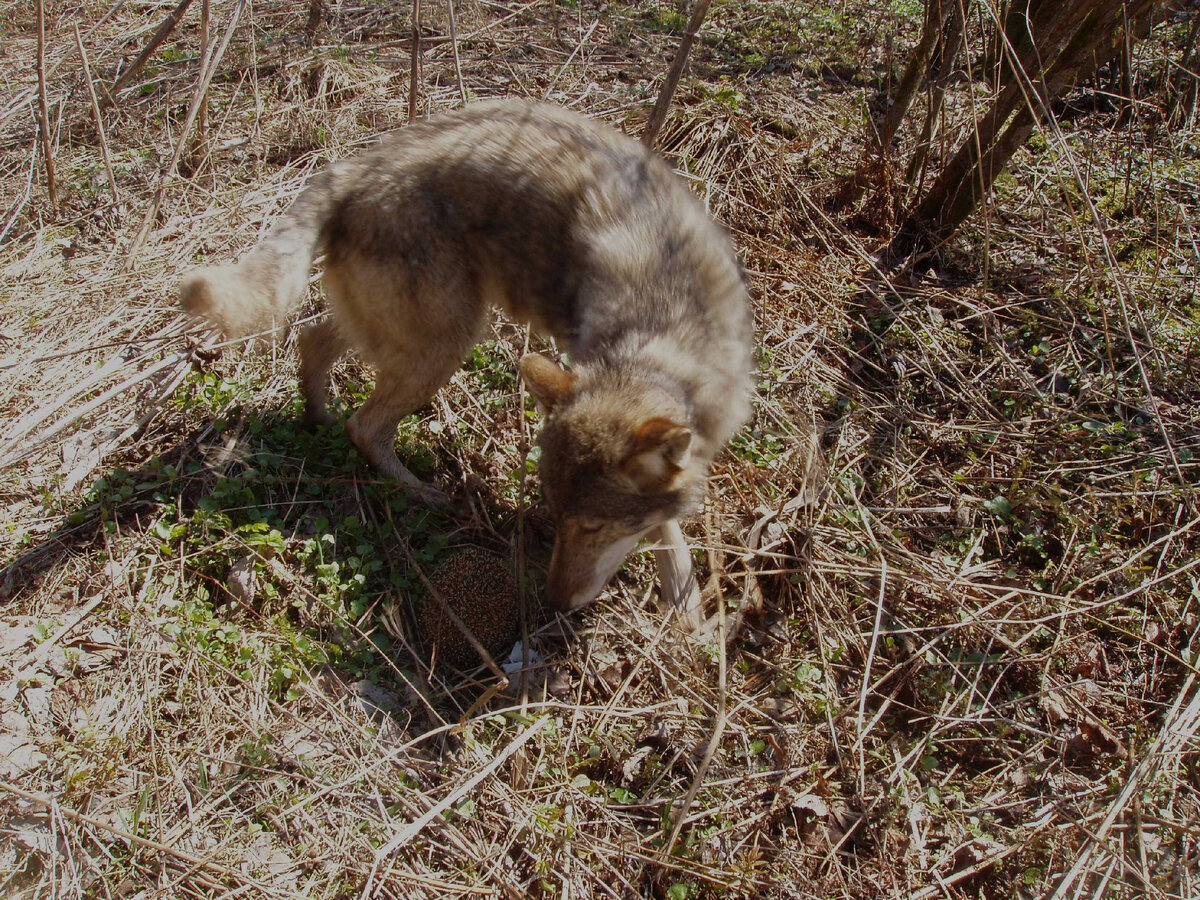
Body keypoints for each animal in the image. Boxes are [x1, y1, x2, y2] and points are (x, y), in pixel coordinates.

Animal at [177, 98, 748, 628]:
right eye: (556, 516)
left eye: (590, 527)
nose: (552, 603)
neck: (663, 329)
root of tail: (351, 168)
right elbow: (667, 527)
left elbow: (670, 533)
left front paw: (688, 615)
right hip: (447, 344)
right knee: (364, 425)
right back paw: (425, 494)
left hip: (402, 333)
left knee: (312, 343)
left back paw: (316, 421)